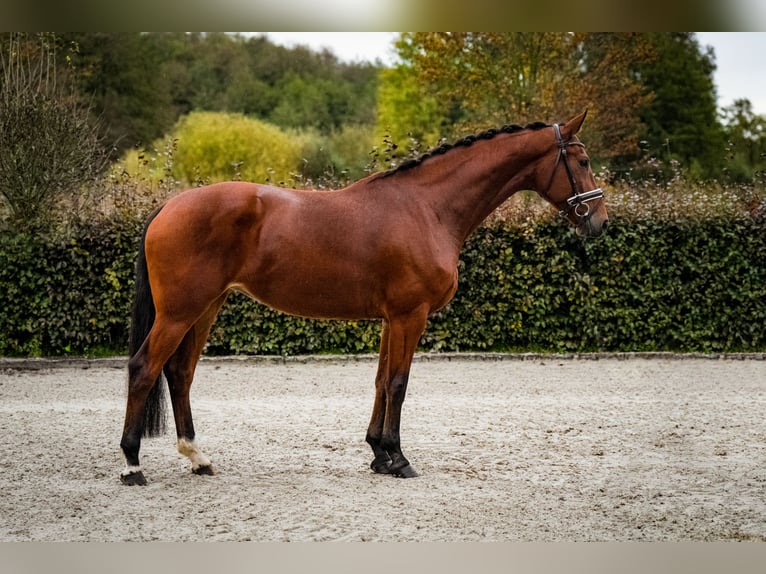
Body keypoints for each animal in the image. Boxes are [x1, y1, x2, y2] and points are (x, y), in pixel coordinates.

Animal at [121, 109, 612, 486]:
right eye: (583, 160)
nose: (601, 221)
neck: (427, 207)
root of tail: (169, 206)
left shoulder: (391, 319)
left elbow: (379, 382)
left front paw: (378, 455)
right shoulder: (410, 315)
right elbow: (398, 383)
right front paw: (399, 459)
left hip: (206, 307)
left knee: (180, 373)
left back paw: (197, 458)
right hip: (180, 311)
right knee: (145, 368)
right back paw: (132, 465)